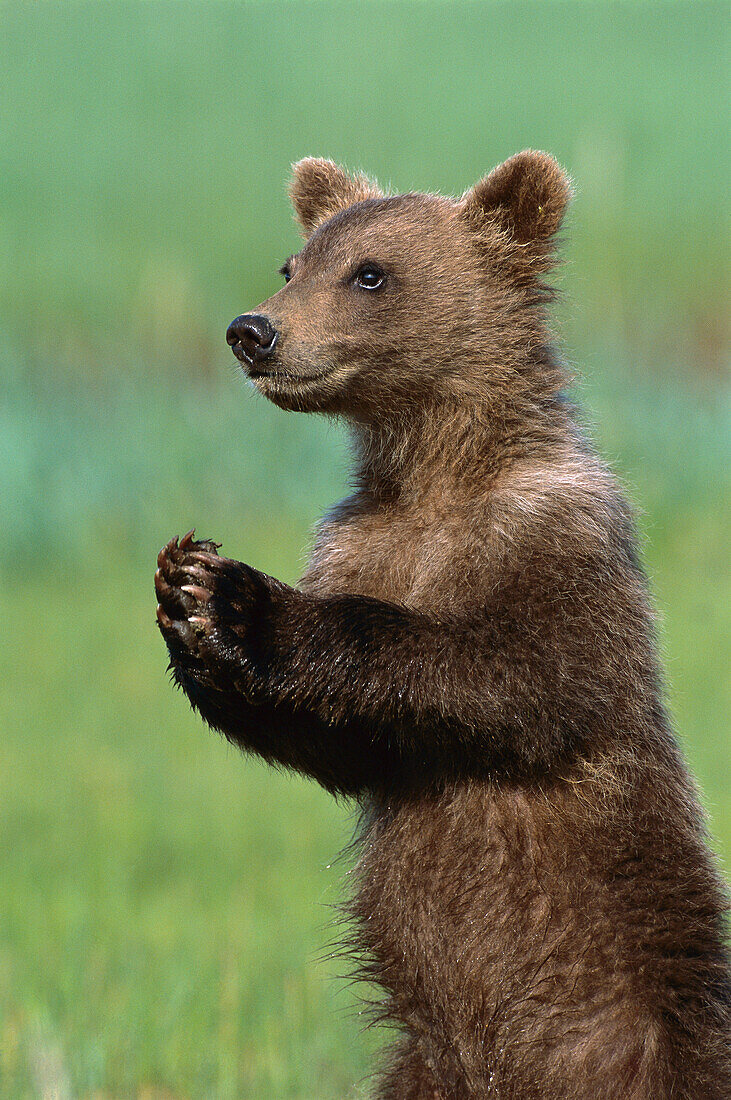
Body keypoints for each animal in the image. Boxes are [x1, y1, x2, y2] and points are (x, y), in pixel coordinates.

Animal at [154, 155, 729, 1100]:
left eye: (370, 274)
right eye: (292, 264)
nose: (252, 331)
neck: (435, 475)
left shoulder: (557, 542)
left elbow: (511, 678)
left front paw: (240, 599)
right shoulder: (358, 539)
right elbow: (342, 744)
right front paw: (183, 594)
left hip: (650, 1029)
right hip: (424, 1062)